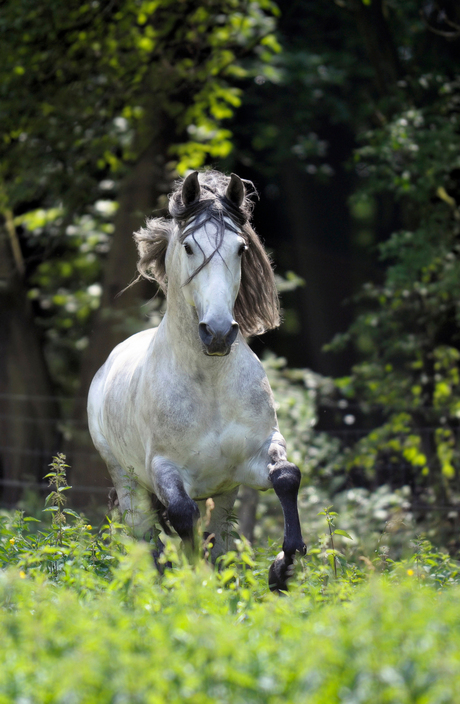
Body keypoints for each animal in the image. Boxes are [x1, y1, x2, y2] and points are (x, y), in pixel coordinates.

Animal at [88, 169, 308, 588]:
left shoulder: (255, 457)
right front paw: (192, 584)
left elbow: (287, 477)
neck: (210, 384)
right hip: (128, 484)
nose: (218, 333)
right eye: (189, 246)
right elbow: (182, 514)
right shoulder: (165, 470)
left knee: (220, 538)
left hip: (225, 495)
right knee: (149, 542)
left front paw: (283, 569)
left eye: (241, 248)